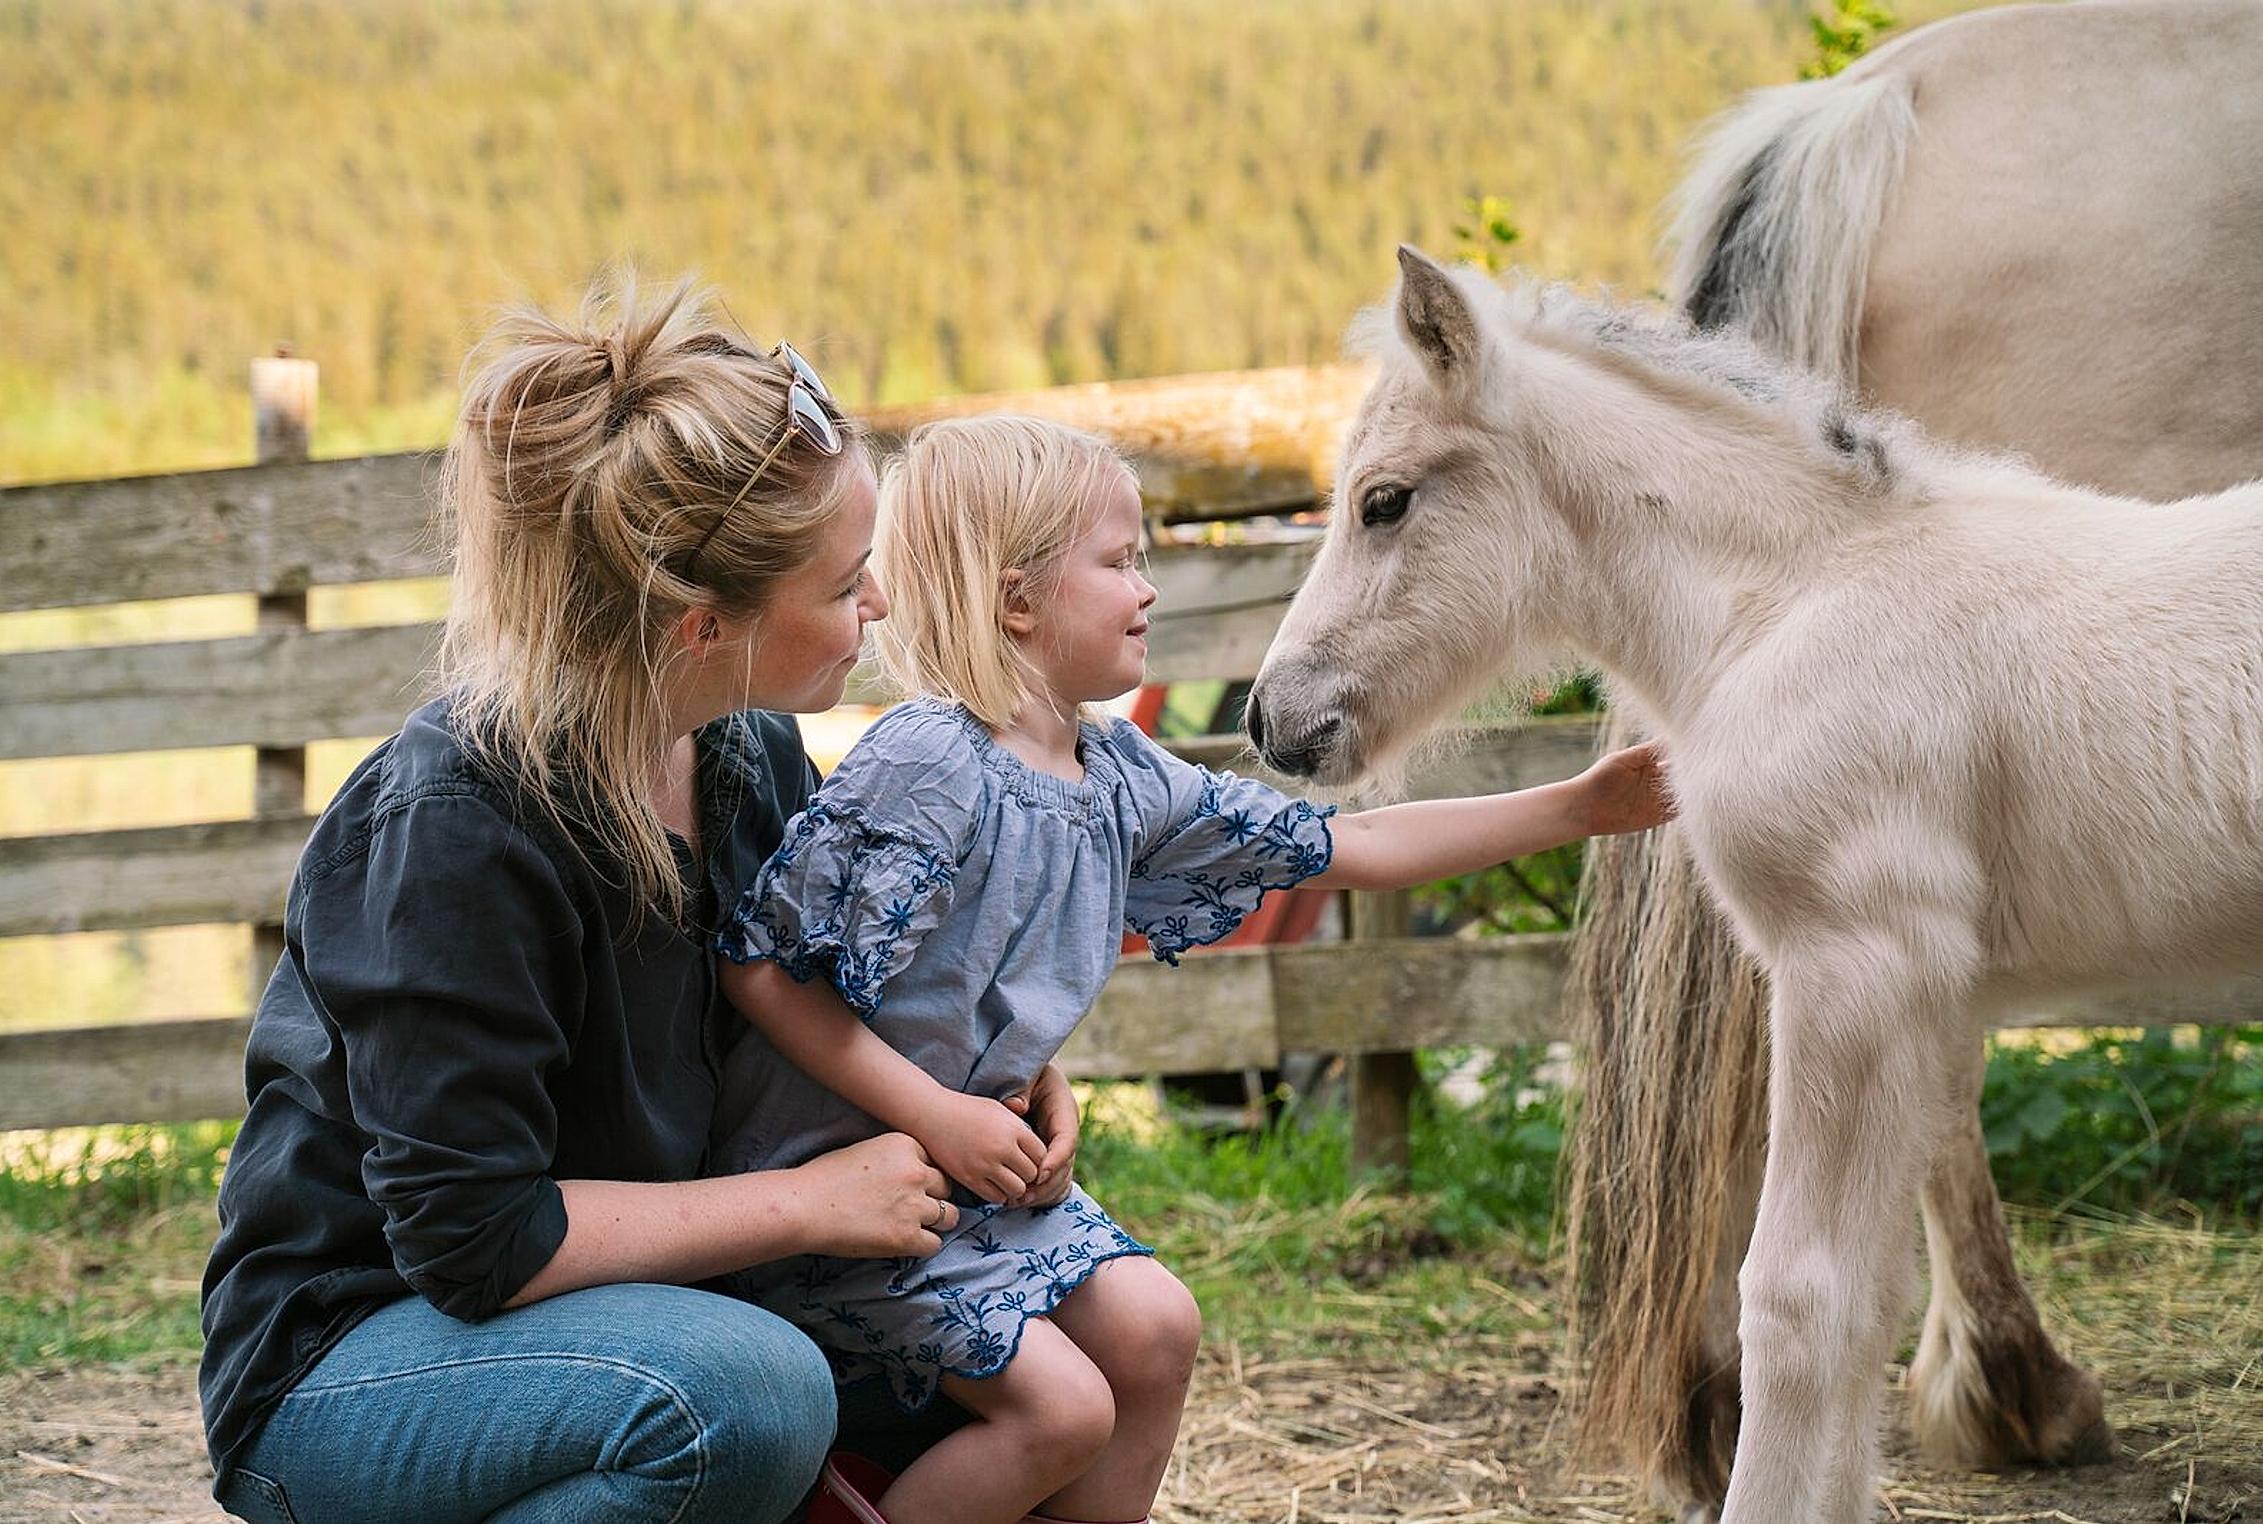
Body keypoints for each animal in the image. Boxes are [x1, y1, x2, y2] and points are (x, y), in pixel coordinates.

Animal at [1240, 250, 2263, 1524]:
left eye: (1383, 501)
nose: (1268, 718)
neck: (1790, 602)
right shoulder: (1927, 1006)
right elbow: (1867, 1301)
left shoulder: (1853, 972)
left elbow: (1797, 1299)